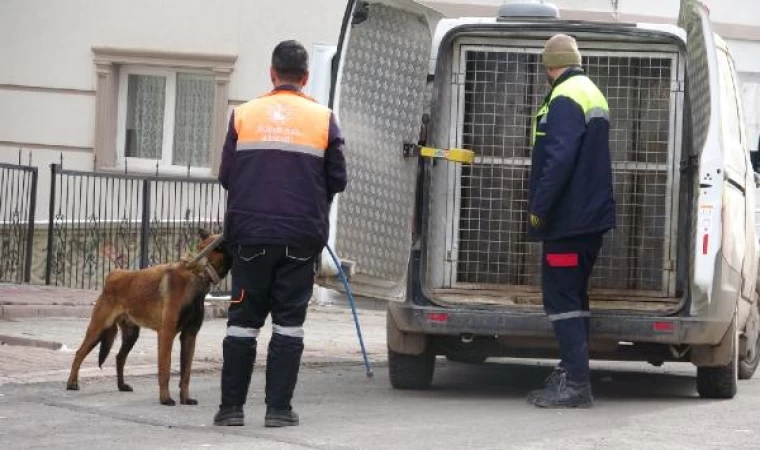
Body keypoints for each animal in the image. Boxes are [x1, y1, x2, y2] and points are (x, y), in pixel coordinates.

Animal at [65, 230, 232, 406]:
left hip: (131, 335)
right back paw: (72, 383)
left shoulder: (189, 337)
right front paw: (165, 398)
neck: (198, 272)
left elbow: (186, 374)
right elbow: (165, 369)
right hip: (98, 330)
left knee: (119, 357)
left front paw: (185, 399)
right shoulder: (166, 335)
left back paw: (121, 385)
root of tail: (113, 275)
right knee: (79, 353)